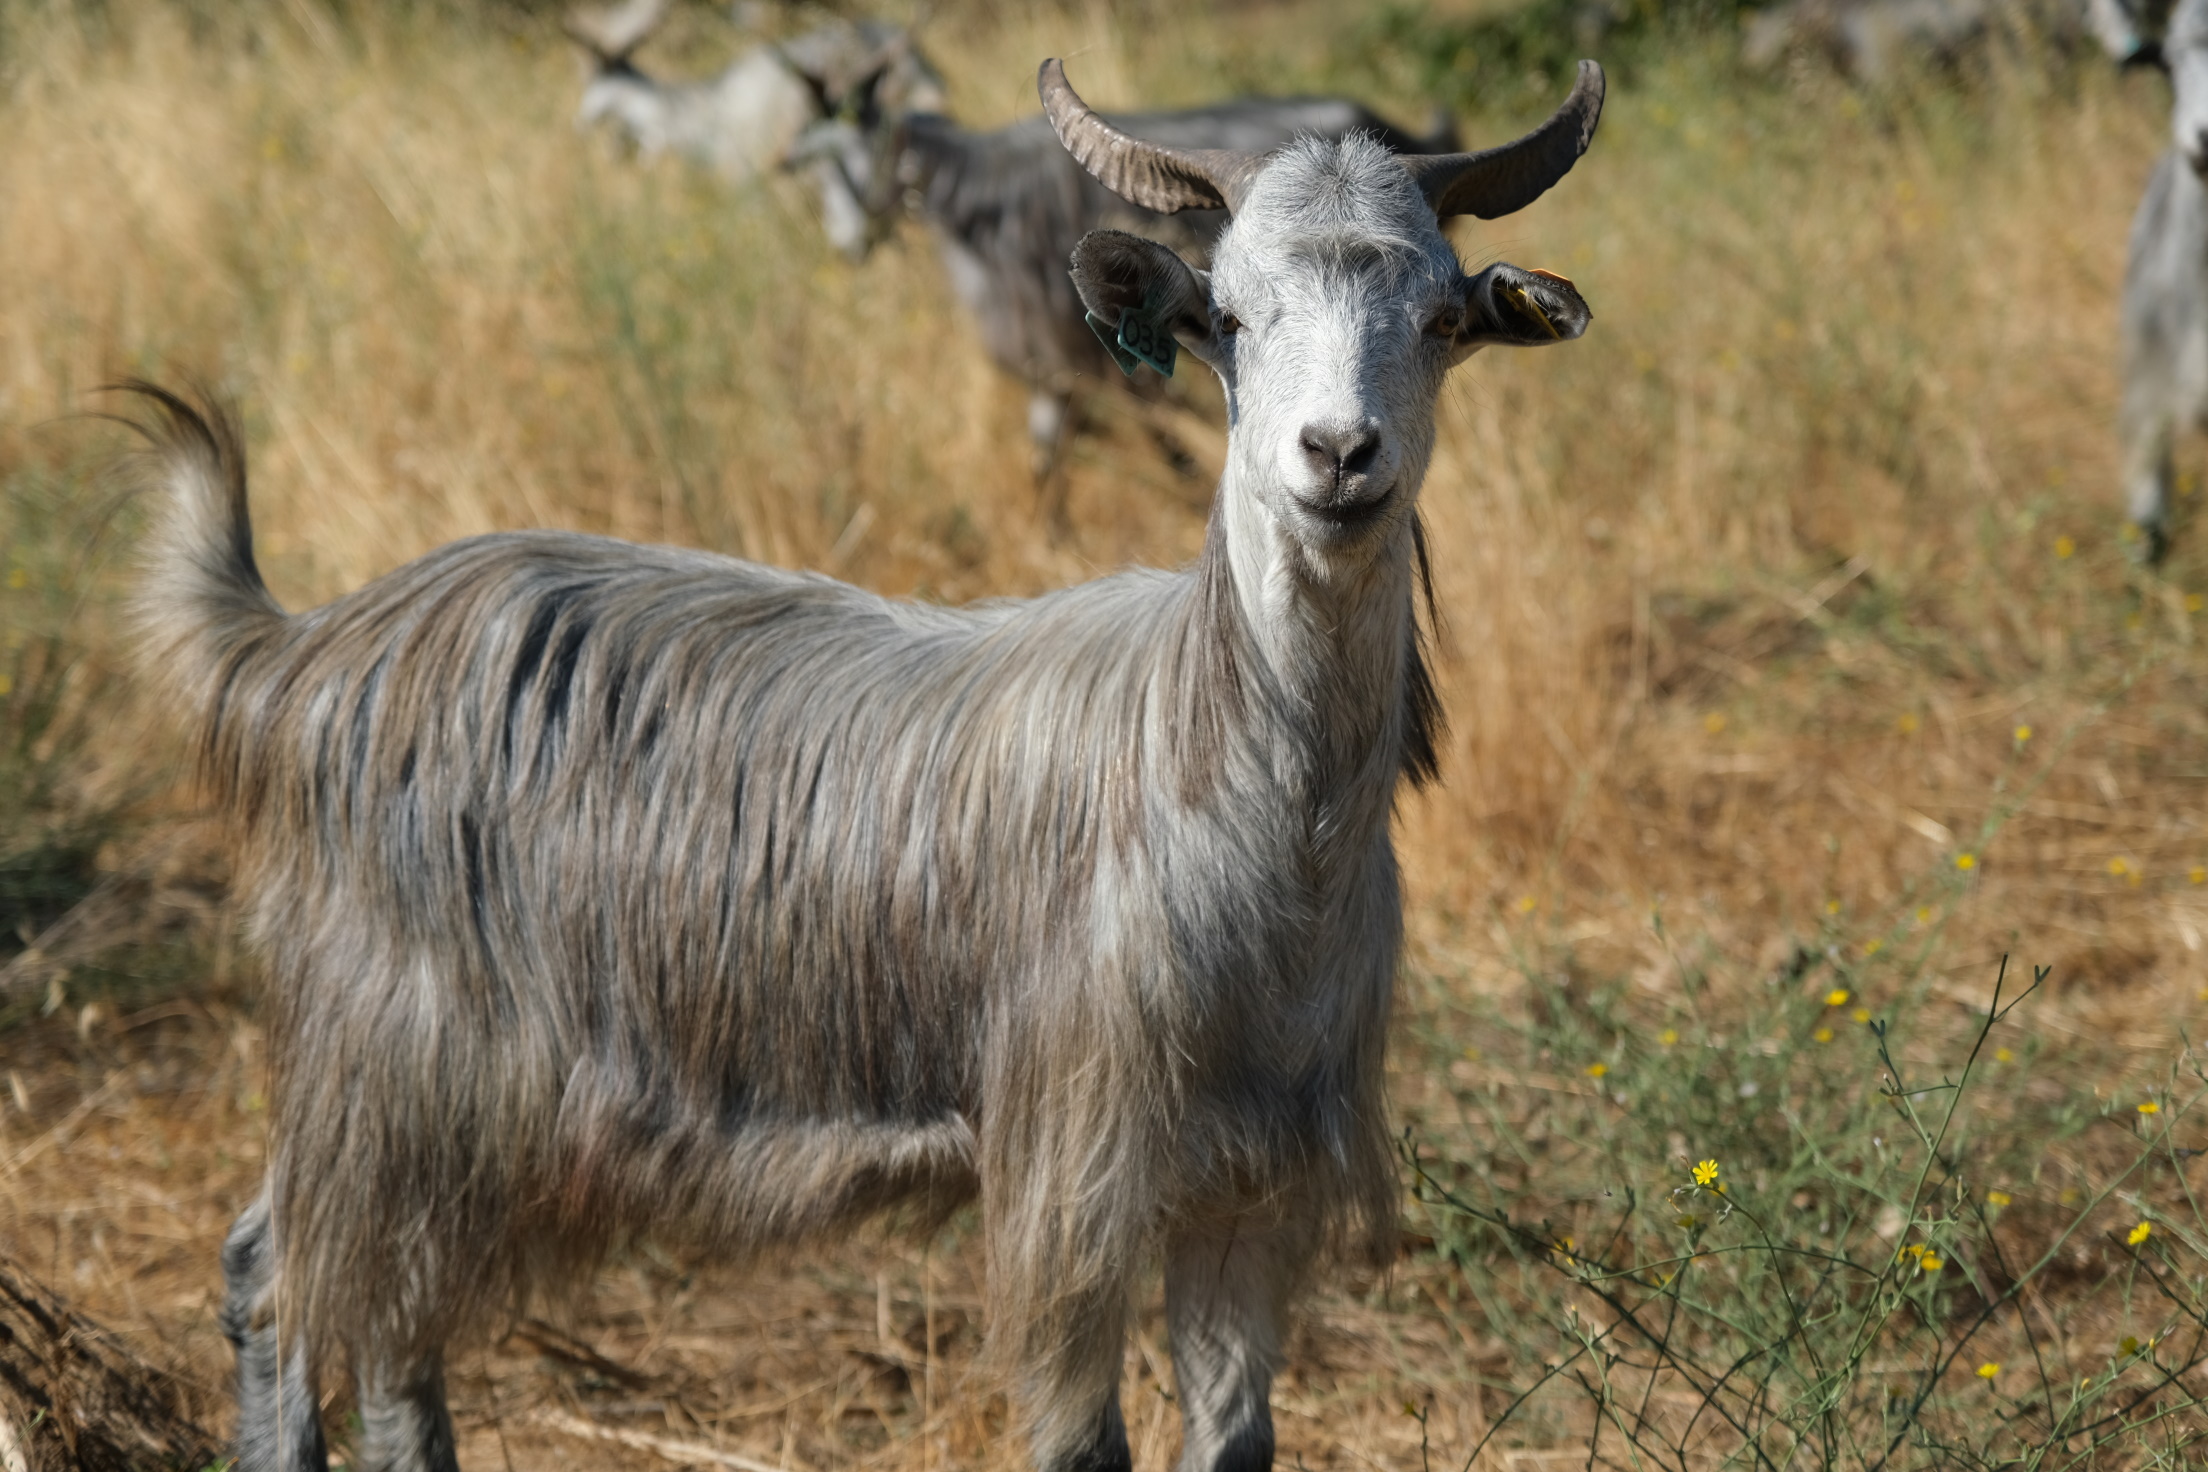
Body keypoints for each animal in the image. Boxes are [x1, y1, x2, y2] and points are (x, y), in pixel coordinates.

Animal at [125, 48, 1607, 1472]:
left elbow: (1238, 1438)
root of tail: (311, 649)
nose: (1338, 456)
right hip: (380, 1057)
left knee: (390, 1324)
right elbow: (1082, 1439)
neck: (1237, 794)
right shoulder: (1072, 1171)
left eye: (1441, 322)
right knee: (274, 1279)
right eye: (1229, 321)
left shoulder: (1255, 1189)